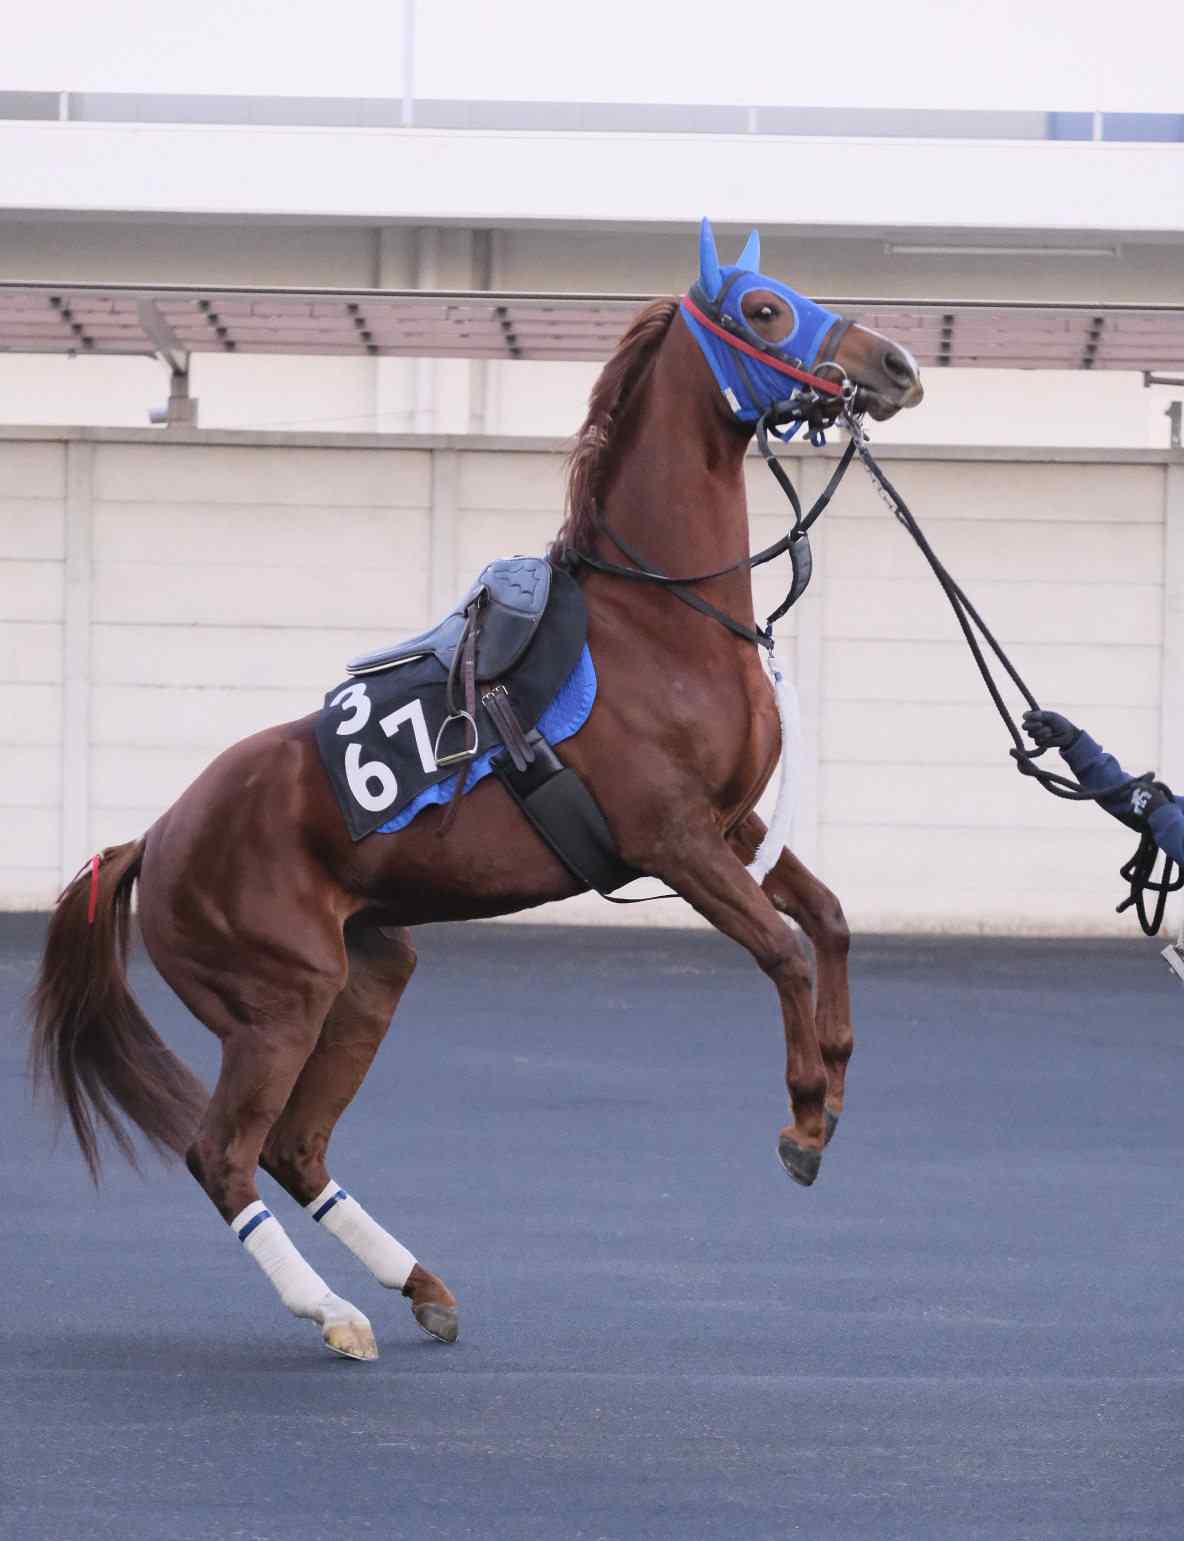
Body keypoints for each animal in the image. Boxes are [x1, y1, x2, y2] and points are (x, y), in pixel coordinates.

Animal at [30, 223, 925, 1356]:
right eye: (764, 309)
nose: (894, 364)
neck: (660, 621)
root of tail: (153, 837)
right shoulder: (673, 838)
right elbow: (782, 947)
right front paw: (805, 1115)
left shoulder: (734, 821)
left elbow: (830, 918)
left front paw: (837, 1074)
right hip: (276, 1002)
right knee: (224, 1153)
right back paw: (333, 1312)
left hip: (369, 972)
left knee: (294, 1146)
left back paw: (419, 1284)